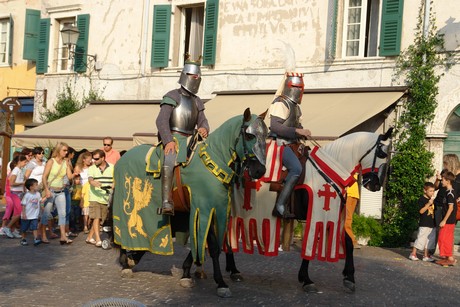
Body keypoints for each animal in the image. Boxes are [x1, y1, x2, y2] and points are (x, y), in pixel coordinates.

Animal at [226, 129, 392, 294]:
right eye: (382, 153)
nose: (375, 185)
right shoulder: (317, 213)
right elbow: (311, 244)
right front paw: (306, 279)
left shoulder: (335, 217)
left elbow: (348, 242)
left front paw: (349, 278)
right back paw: (233, 270)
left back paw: (232, 269)